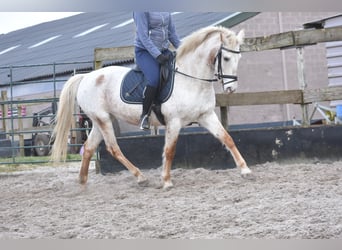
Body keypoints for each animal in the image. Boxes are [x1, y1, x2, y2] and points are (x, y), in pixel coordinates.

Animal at [52, 25, 252, 189]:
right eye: (226, 58)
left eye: (239, 57)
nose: (231, 89)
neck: (191, 78)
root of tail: (86, 76)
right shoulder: (174, 122)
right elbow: (169, 151)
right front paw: (166, 181)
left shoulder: (206, 115)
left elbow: (227, 139)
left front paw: (245, 170)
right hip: (103, 119)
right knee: (113, 148)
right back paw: (140, 177)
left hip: (99, 120)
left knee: (89, 147)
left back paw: (82, 181)